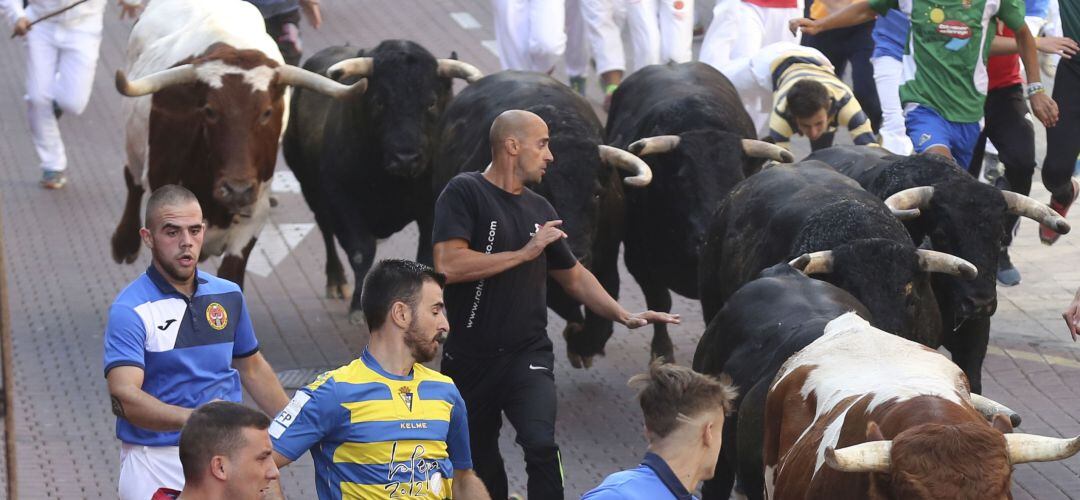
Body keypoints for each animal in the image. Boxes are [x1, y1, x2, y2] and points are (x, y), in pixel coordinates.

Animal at [110, 0, 362, 287]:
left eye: (266, 112)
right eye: (209, 111)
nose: (237, 190)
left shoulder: (253, 219)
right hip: (135, 147)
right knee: (132, 180)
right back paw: (124, 244)